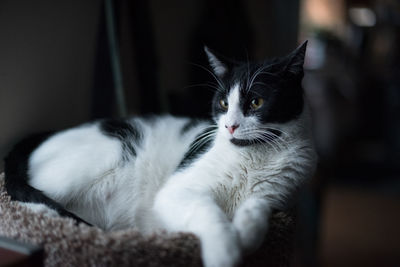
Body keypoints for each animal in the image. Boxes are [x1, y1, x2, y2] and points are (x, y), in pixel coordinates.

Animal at [3, 42, 316, 267]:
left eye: (256, 102)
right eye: (224, 103)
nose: (230, 125)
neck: (253, 157)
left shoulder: (283, 198)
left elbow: (260, 204)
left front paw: (247, 233)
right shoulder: (176, 190)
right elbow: (207, 208)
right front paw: (225, 251)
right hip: (93, 161)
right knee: (27, 198)